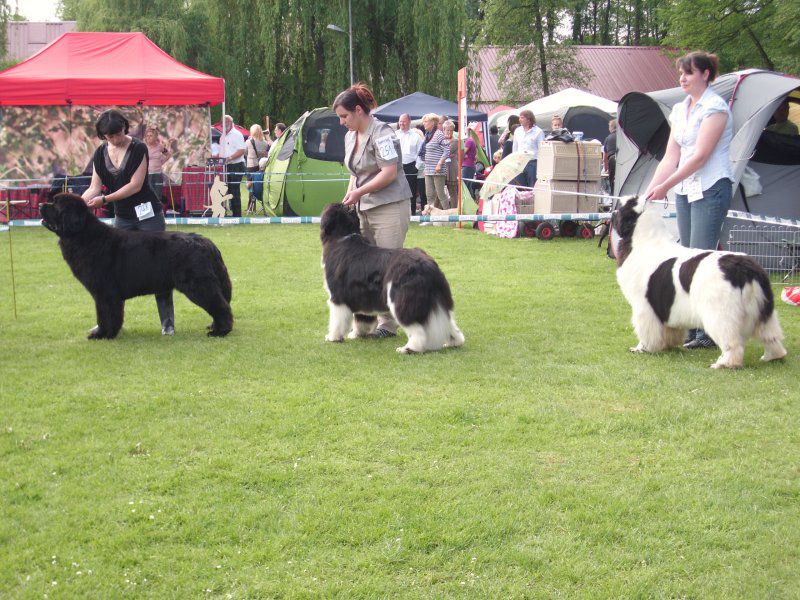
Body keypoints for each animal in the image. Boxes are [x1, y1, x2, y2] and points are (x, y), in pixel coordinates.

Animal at [41, 195, 233, 340]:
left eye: (56, 205)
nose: (41, 204)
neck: (84, 236)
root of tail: (205, 241)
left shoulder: (104, 293)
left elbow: (105, 314)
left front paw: (103, 334)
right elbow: (111, 315)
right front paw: (110, 332)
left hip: (198, 284)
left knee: (220, 306)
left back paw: (220, 331)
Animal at [320, 203, 466, 352]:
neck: (342, 236)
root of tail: (427, 263)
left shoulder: (338, 297)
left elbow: (337, 321)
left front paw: (333, 337)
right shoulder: (361, 293)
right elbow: (362, 318)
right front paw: (357, 334)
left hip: (401, 298)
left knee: (417, 328)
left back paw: (408, 349)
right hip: (438, 298)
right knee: (447, 322)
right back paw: (454, 342)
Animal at [612, 197, 788, 368]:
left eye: (620, 208)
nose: (612, 212)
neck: (645, 240)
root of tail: (743, 267)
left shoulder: (644, 306)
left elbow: (646, 330)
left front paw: (642, 348)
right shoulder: (668, 306)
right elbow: (669, 329)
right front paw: (668, 344)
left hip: (719, 314)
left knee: (732, 342)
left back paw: (724, 363)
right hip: (764, 309)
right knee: (770, 336)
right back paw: (772, 356)